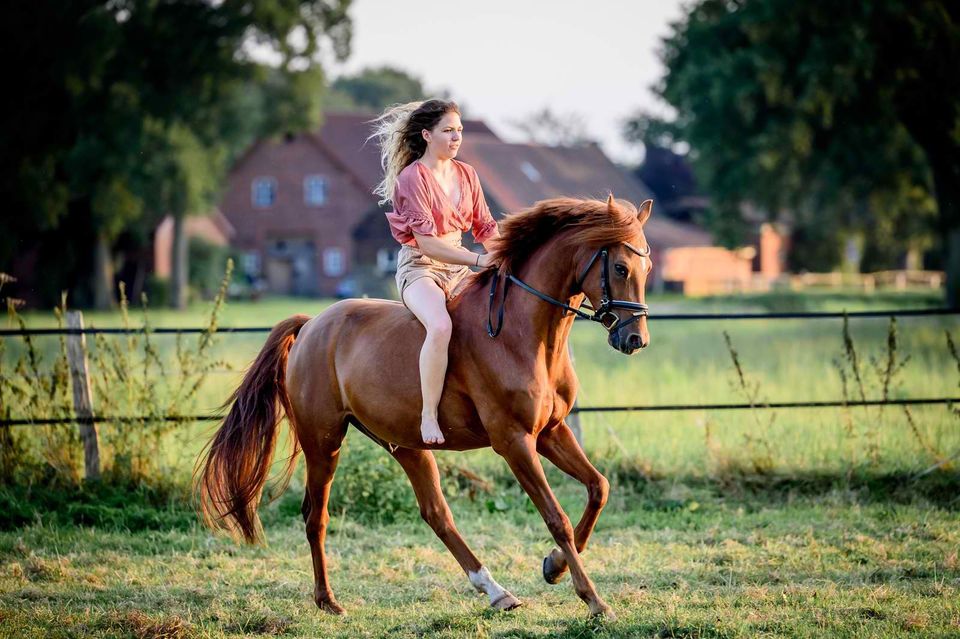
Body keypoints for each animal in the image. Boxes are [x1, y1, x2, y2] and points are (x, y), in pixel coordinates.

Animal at [199, 195, 656, 620]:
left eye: (647, 268)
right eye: (620, 268)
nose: (635, 340)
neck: (523, 334)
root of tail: (312, 324)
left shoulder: (551, 431)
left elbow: (599, 488)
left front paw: (554, 567)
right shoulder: (514, 441)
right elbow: (556, 516)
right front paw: (594, 601)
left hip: (406, 445)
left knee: (436, 513)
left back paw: (497, 592)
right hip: (323, 441)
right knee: (317, 516)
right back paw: (328, 600)